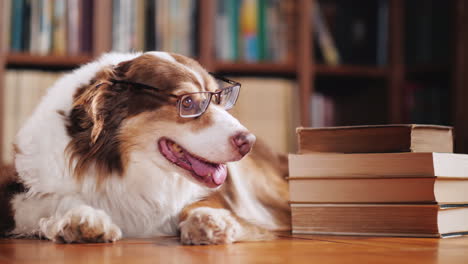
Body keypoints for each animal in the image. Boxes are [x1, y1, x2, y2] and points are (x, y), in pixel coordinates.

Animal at [0, 52, 290, 245]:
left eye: (221, 99)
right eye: (188, 102)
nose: (248, 141)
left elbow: (200, 204)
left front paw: (210, 220)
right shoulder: (17, 193)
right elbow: (55, 200)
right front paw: (83, 218)